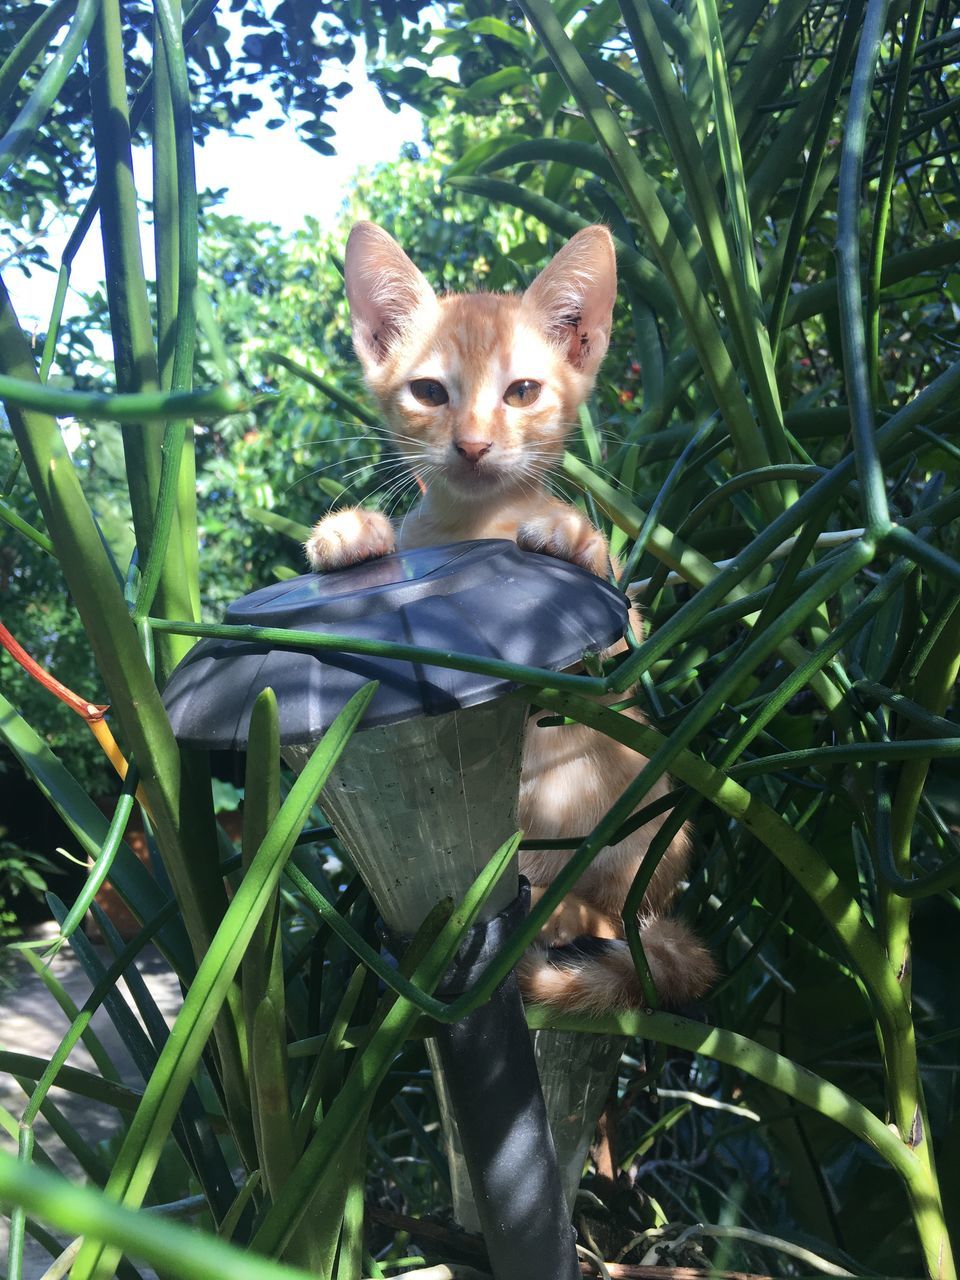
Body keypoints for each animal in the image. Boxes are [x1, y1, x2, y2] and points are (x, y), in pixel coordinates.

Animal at [308, 220, 716, 1008]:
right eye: (429, 392)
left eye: (522, 391)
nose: (471, 444)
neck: (477, 523)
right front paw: (350, 533)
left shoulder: (619, 652)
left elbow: (619, 645)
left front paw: (574, 537)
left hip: (646, 808)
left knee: (615, 911)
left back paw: (574, 916)